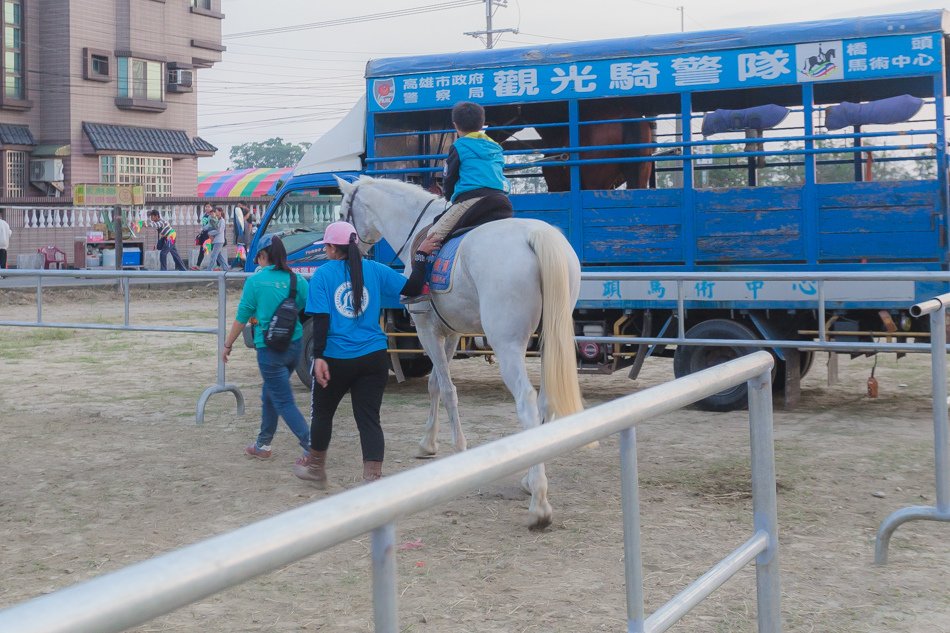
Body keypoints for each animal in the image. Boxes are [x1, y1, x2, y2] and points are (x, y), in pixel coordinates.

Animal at [334, 173, 588, 528]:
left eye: (343, 211)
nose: (347, 252)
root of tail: (536, 236)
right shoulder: (450, 332)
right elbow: (435, 385)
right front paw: (428, 442)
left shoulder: (427, 328)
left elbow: (446, 388)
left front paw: (457, 447)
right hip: (551, 339)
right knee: (546, 399)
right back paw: (530, 478)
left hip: (508, 344)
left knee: (527, 401)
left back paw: (539, 502)